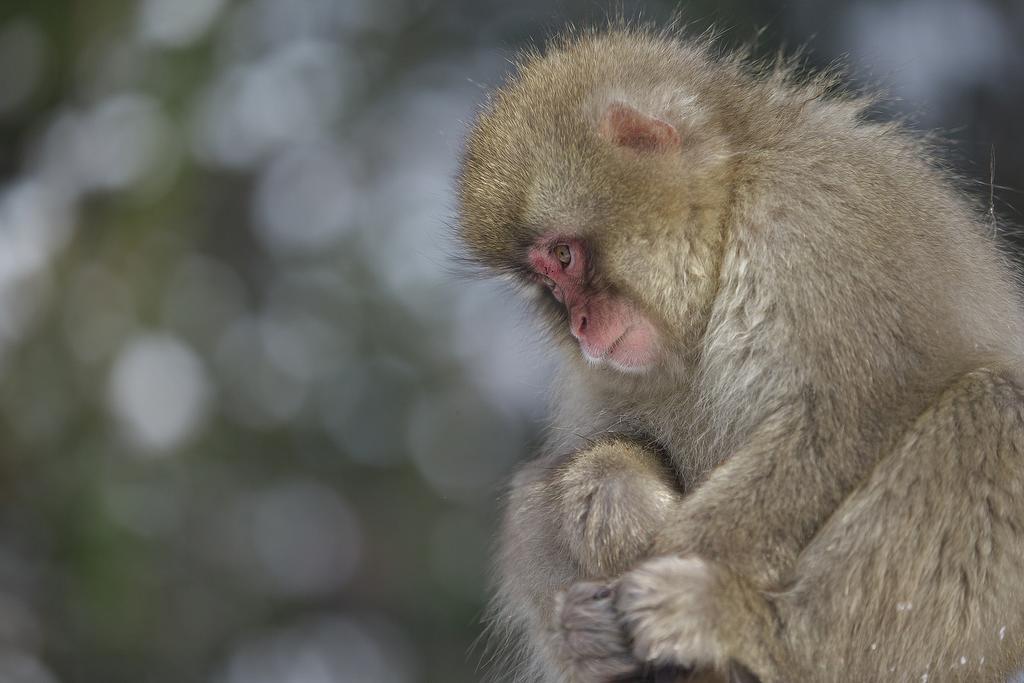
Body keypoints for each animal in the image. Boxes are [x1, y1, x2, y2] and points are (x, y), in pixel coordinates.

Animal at [460, 25, 1024, 683]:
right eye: (545, 284)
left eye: (564, 256)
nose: (578, 325)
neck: (727, 224)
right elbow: (559, 481)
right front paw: (580, 624)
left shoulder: (815, 215)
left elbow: (846, 418)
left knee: (993, 414)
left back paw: (760, 634)